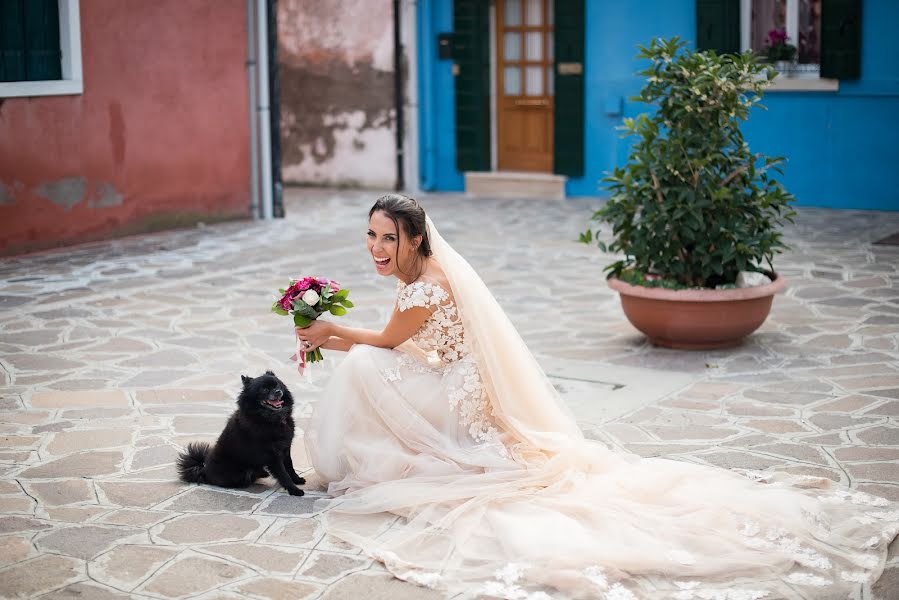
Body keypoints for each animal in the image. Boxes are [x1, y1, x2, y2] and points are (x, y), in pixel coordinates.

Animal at [177, 370, 306, 496]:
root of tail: (203, 471)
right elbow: (283, 474)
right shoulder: (272, 455)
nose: (278, 392)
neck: (271, 419)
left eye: (277, 385)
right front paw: (294, 490)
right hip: (238, 474)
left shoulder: (285, 447)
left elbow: (290, 466)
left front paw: (297, 480)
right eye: (264, 389)